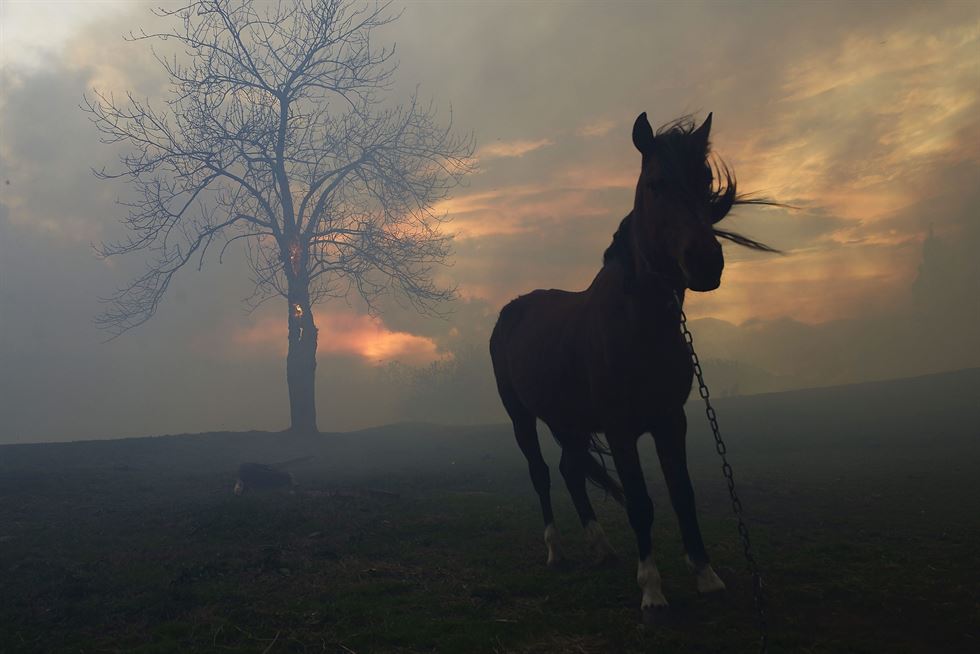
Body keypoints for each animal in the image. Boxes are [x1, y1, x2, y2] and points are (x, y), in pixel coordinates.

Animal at [486, 113, 776, 624]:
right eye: (657, 183)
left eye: (705, 182)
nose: (705, 262)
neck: (636, 323)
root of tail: (511, 311)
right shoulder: (621, 430)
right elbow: (641, 503)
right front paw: (652, 591)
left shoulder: (671, 421)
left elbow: (682, 493)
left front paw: (706, 576)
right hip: (522, 416)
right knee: (541, 473)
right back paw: (556, 551)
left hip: (568, 419)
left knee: (570, 469)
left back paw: (601, 548)